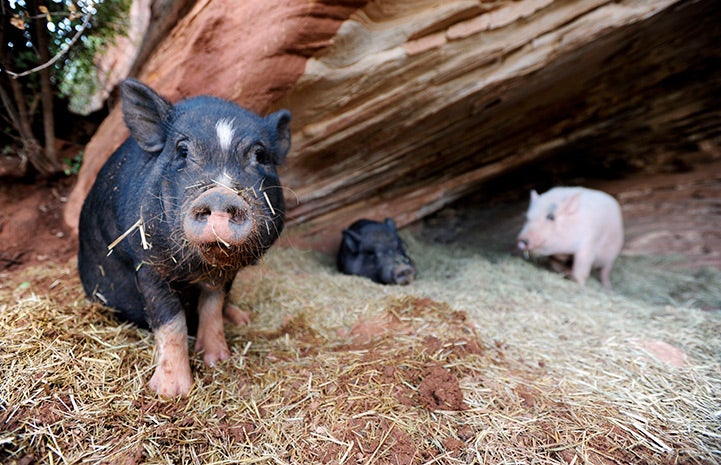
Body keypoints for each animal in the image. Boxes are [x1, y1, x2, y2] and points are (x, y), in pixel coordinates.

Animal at [79, 79, 290, 396]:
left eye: (260, 155)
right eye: (182, 150)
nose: (220, 194)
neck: (199, 267)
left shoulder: (224, 273)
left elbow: (212, 306)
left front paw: (218, 360)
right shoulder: (148, 265)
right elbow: (171, 321)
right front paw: (170, 392)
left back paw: (243, 319)